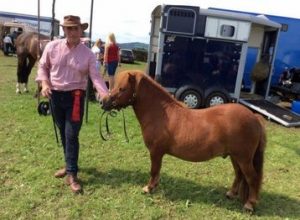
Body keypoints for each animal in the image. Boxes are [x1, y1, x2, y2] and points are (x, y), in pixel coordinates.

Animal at [102, 70, 268, 211]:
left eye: (122, 88)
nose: (103, 102)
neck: (161, 113)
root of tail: (254, 118)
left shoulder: (156, 152)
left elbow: (154, 170)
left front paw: (148, 188)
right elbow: (157, 171)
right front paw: (153, 186)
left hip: (244, 158)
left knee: (252, 177)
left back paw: (249, 204)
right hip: (235, 157)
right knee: (239, 175)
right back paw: (231, 194)